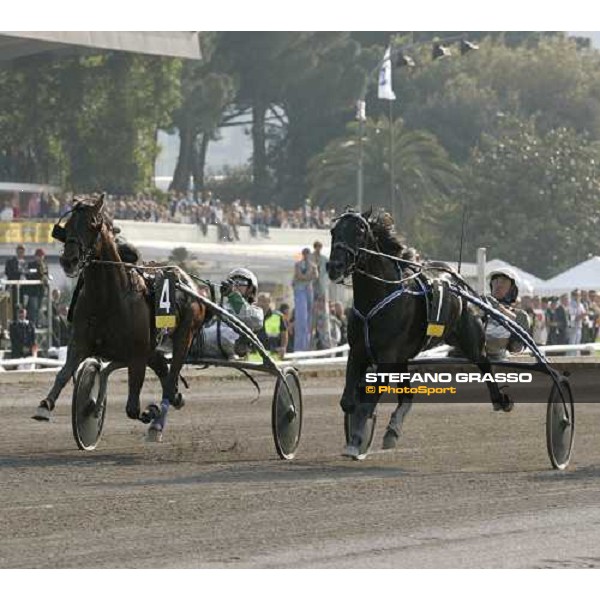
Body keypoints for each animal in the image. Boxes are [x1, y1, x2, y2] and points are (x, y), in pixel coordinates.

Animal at [32, 197, 207, 440]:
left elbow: (132, 408)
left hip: (184, 335)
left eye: (92, 225)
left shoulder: (137, 354)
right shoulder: (80, 343)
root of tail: (189, 282)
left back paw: (160, 416)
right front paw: (45, 405)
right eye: (66, 226)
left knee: (171, 376)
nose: (69, 260)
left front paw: (150, 411)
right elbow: (64, 373)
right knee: (163, 370)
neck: (107, 298)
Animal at [328, 210, 510, 460]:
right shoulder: (358, 351)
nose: (334, 266)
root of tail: (459, 280)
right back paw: (392, 430)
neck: (376, 298)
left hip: (471, 341)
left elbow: (367, 403)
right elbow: (348, 401)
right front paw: (357, 436)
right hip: (404, 357)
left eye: (359, 232)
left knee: (484, 363)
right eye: (333, 231)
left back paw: (500, 400)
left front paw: (356, 441)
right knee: (407, 395)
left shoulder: (387, 356)